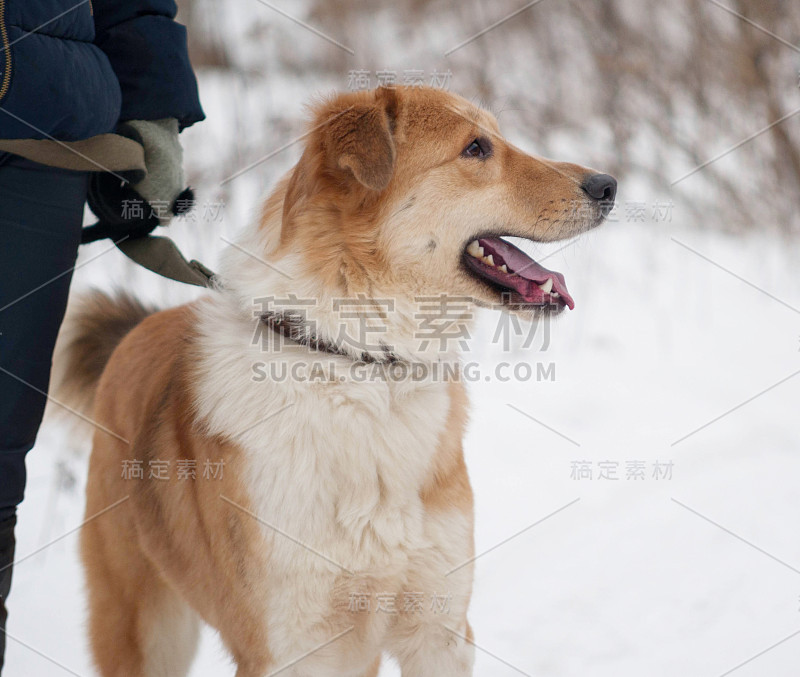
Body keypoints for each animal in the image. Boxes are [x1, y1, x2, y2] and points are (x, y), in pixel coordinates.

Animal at [56, 87, 616, 672]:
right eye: (476, 148)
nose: (608, 186)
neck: (361, 364)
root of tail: (137, 328)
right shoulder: (290, 647)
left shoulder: (438, 630)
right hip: (144, 628)